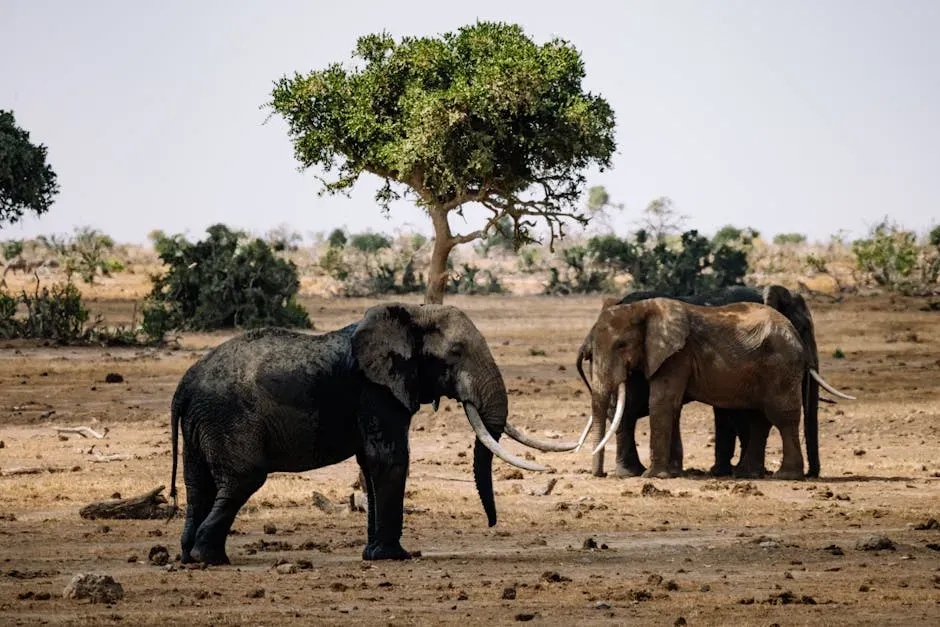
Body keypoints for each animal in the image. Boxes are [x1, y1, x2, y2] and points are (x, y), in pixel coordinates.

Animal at [168, 303, 576, 565]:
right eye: (457, 352)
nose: (491, 525)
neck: (412, 315)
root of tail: (184, 386)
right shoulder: (377, 391)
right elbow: (389, 460)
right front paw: (395, 557)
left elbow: (369, 464)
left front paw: (373, 555)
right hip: (228, 419)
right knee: (241, 480)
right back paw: (209, 558)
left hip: (203, 423)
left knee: (198, 484)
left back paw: (190, 557)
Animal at [576, 297, 853, 479]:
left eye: (621, 345)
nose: (600, 475)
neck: (643, 308)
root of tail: (792, 333)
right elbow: (671, 406)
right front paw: (671, 473)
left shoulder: (677, 355)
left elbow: (662, 402)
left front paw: (654, 477)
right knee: (760, 417)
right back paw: (748, 474)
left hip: (780, 366)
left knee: (781, 416)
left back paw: (784, 476)